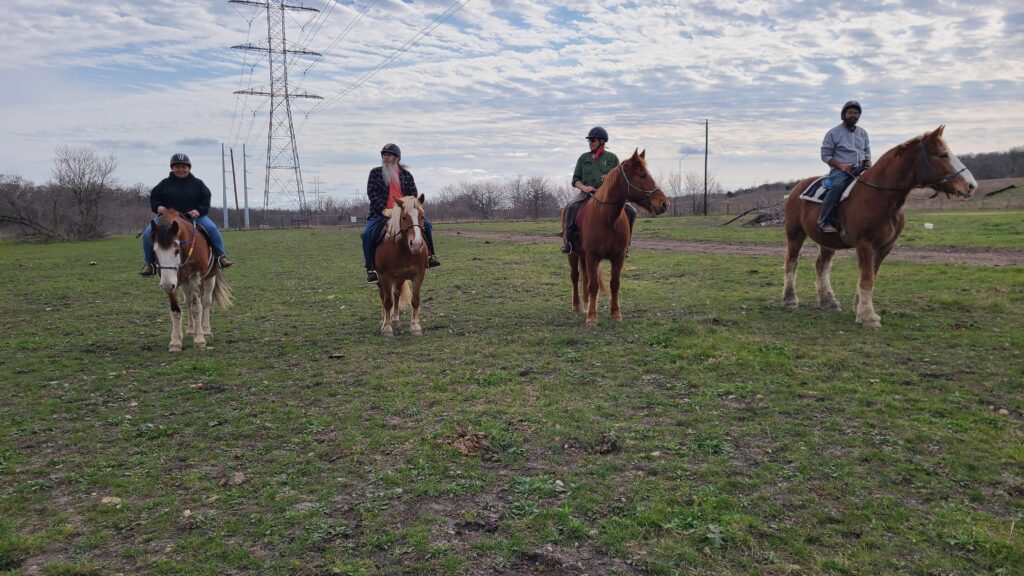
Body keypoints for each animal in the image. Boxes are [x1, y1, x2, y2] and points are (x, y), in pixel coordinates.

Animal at [148, 207, 232, 350]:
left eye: (176, 250)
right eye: (155, 251)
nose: (166, 285)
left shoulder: (196, 278)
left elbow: (197, 308)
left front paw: (199, 339)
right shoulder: (172, 283)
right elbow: (176, 311)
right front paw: (175, 341)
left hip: (210, 279)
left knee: (206, 302)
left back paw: (206, 330)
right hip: (184, 283)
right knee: (188, 302)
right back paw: (190, 330)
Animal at [372, 193, 428, 334]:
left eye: (422, 216)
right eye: (404, 217)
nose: (417, 244)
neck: (403, 250)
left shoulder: (419, 274)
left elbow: (415, 300)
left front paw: (415, 326)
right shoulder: (385, 276)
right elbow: (387, 302)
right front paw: (387, 327)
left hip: (400, 278)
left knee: (396, 294)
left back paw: (395, 317)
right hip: (380, 280)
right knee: (383, 296)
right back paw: (384, 321)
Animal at [565, 147, 667, 325]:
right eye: (642, 175)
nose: (664, 204)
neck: (607, 218)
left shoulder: (618, 257)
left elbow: (614, 284)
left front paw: (615, 313)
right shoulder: (593, 256)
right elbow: (593, 285)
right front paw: (592, 317)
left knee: (584, 276)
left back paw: (586, 304)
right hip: (573, 254)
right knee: (575, 276)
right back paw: (578, 306)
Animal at [782, 125, 974, 325]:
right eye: (943, 154)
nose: (970, 186)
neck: (879, 195)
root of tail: (796, 189)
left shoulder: (885, 246)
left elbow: (871, 275)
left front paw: (859, 307)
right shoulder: (865, 244)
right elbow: (867, 278)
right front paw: (867, 316)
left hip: (827, 241)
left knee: (822, 266)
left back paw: (829, 302)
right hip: (795, 234)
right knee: (792, 262)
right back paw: (790, 300)